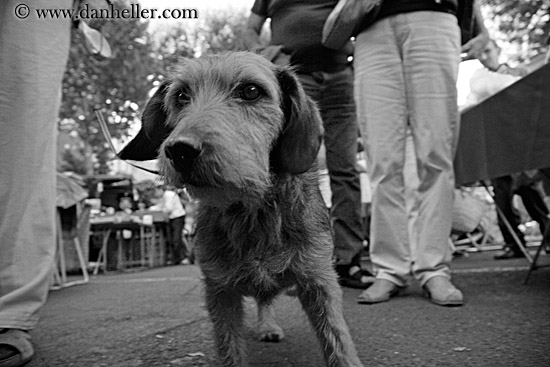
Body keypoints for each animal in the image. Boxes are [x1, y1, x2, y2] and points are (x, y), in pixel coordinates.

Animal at [118, 51, 364, 367]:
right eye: (181, 95)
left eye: (251, 91)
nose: (179, 150)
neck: (253, 211)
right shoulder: (219, 291)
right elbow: (229, 346)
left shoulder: (318, 281)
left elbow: (337, 339)